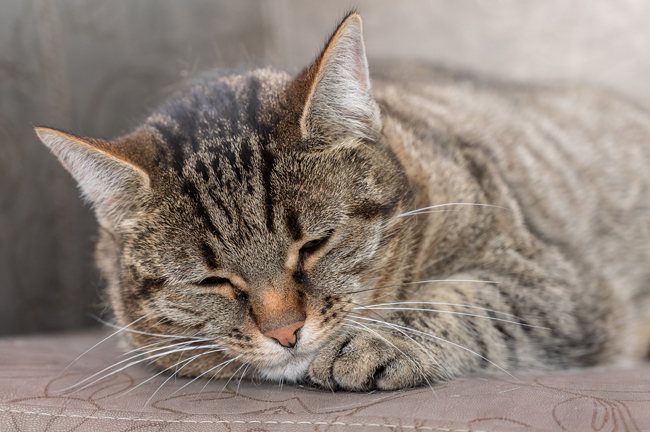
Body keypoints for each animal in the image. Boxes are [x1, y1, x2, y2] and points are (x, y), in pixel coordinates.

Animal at [34, 12, 648, 392]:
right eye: (213, 281)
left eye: (314, 245)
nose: (285, 333)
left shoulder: (551, 282)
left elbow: (457, 303)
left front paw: (376, 341)